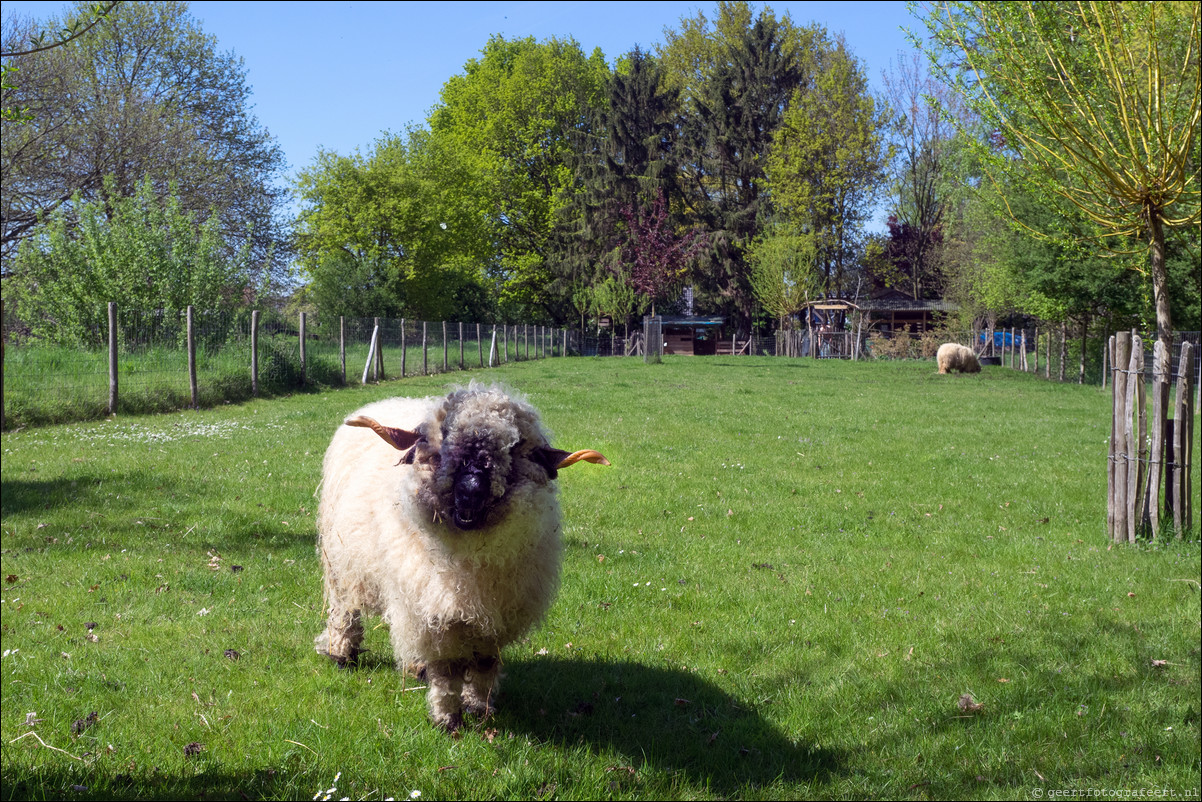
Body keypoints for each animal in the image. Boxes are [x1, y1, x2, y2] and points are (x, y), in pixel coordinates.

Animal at [314, 382, 605, 735]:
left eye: (514, 451)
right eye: (439, 446)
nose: (471, 490)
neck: (470, 558)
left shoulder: (494, 618)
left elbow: (484, 665)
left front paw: (479, 709)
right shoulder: (438, 615)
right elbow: (445, 671)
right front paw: (447, 720)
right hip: (341, 563)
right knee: (344, 610)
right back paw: (342, 654)